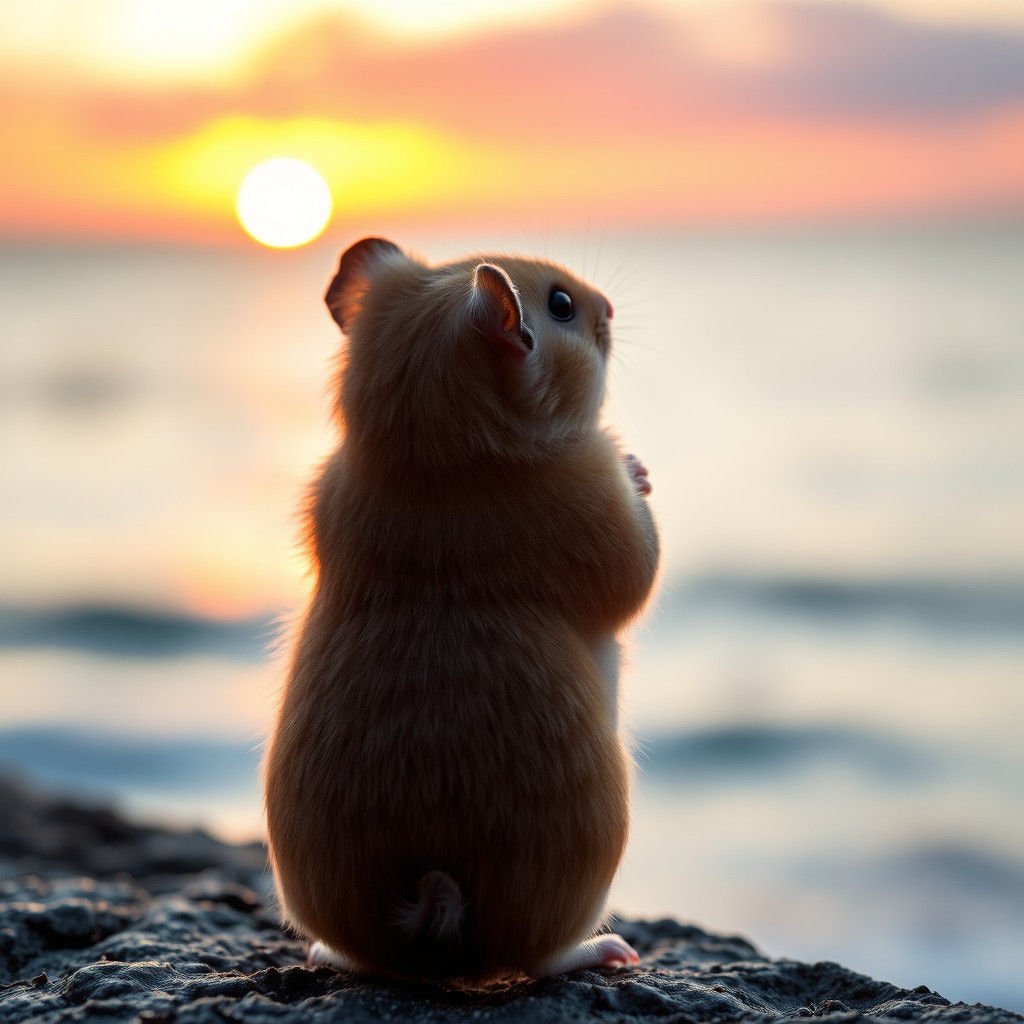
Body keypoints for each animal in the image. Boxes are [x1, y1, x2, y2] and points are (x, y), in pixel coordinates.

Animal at [263, 237, 659, 981]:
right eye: (561, 306)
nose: (612, 309)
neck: (433, 447)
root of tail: (431, 901)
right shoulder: (604, 519)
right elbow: (641, 563)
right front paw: (637, 468)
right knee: (541, 959)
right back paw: (608, 951)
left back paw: (324, 952)